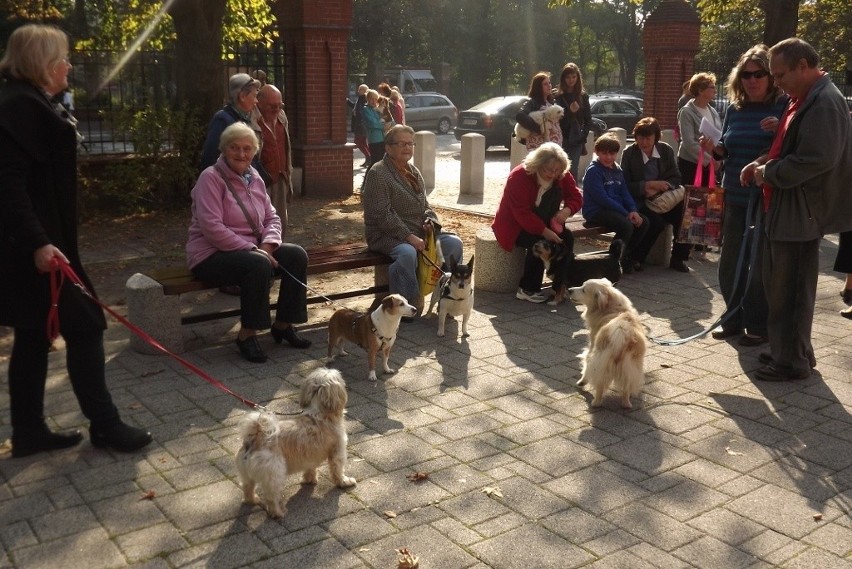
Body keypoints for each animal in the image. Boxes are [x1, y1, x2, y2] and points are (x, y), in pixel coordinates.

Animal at [233, 366, 356, 516]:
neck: (318, 412)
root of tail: (256, 437)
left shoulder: (309, 456)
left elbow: (310, 468)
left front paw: (310, 480)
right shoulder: (338, 451)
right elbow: (337, 471)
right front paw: (344, 482)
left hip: (246, 476)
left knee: (247, 488)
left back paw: (253, 500)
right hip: (274, 475)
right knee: (271, 497)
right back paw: (278, 513)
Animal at [568, 276, 644, 406]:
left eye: (584, 290)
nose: (569, 290)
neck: (613, 309)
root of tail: (622, 333)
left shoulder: (592, 345)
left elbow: (586, 364)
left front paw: (581, 382)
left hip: (600, 362)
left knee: (599, 385)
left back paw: (595, 402)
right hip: (631, 368)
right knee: (626, 389)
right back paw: (626, 404)